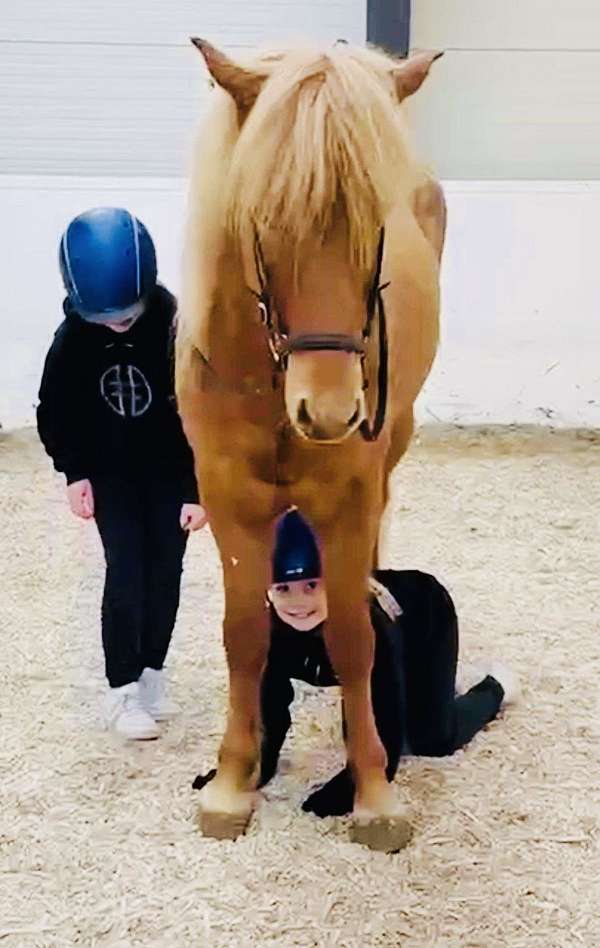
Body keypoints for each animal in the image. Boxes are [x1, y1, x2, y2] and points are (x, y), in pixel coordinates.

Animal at [176, 39, 446, 851]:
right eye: (262, 217)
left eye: (377, 220)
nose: (328, 412)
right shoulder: (230, 504)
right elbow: (243, 636)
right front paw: (232, 784)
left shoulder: (348, 502)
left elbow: (355, 640)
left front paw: (374, 795)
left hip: (397, 432)